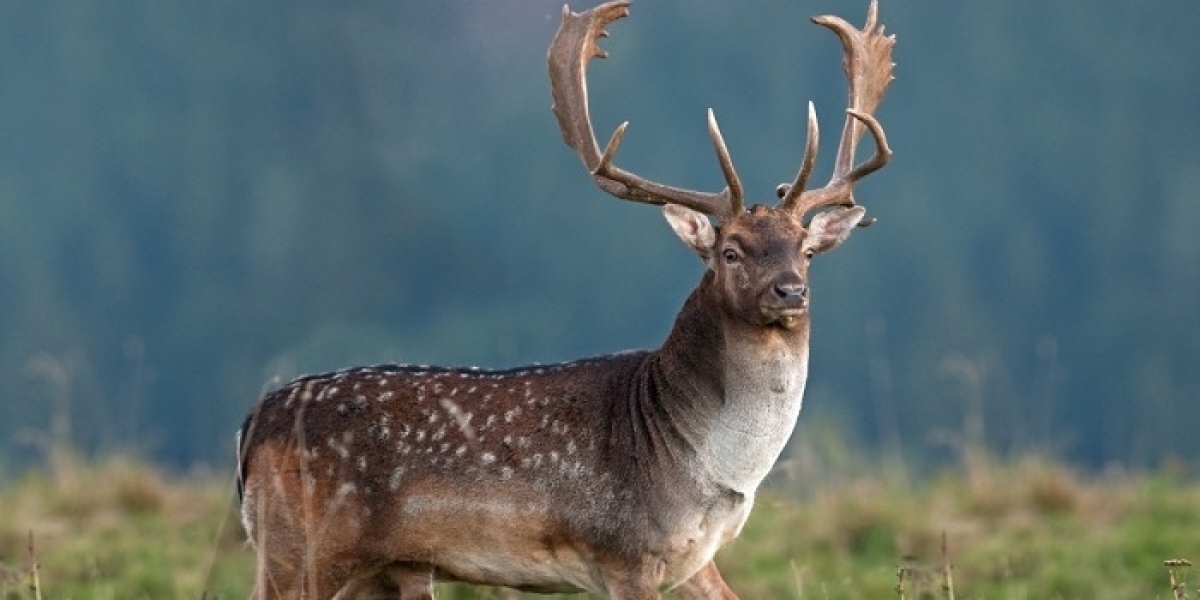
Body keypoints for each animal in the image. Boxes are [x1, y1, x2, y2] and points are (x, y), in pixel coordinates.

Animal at [236, 1, 894, 598]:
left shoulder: (694, 560)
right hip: (300, 551)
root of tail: (251, 426)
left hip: (380, 570)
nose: (791, 290)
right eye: (730, 251)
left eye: (806, 250)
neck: (707, 473)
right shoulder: (626, 553)